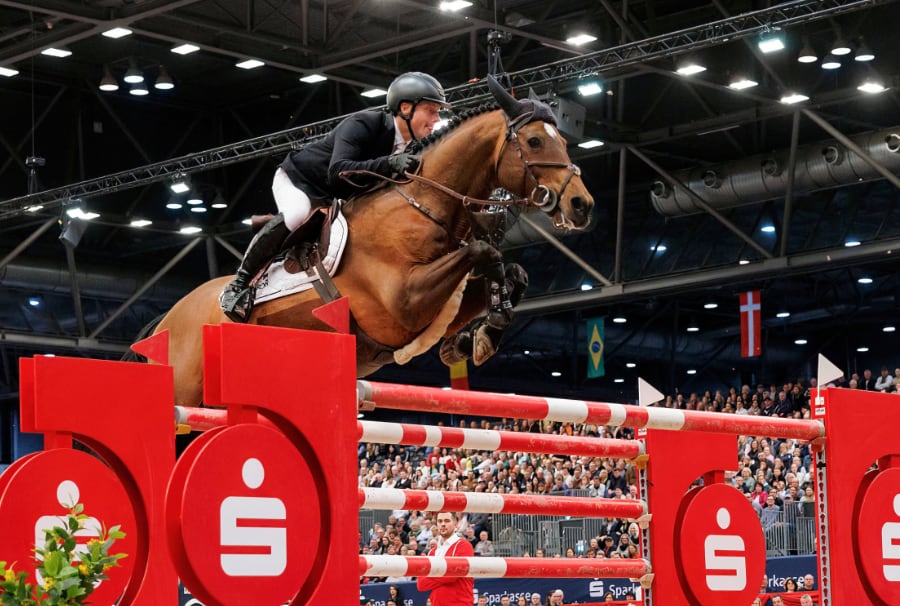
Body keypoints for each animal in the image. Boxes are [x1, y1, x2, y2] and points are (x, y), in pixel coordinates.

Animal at [151, 77, 596, 408]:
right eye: (535, 141)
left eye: (564, 140)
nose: (582, 205)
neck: (422, 206)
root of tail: (166, 320)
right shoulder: (403, 304)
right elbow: (484, 251)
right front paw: (489, 325)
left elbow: (511, 271)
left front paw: (476, 336)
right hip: (186, 398)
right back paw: (236, 296)